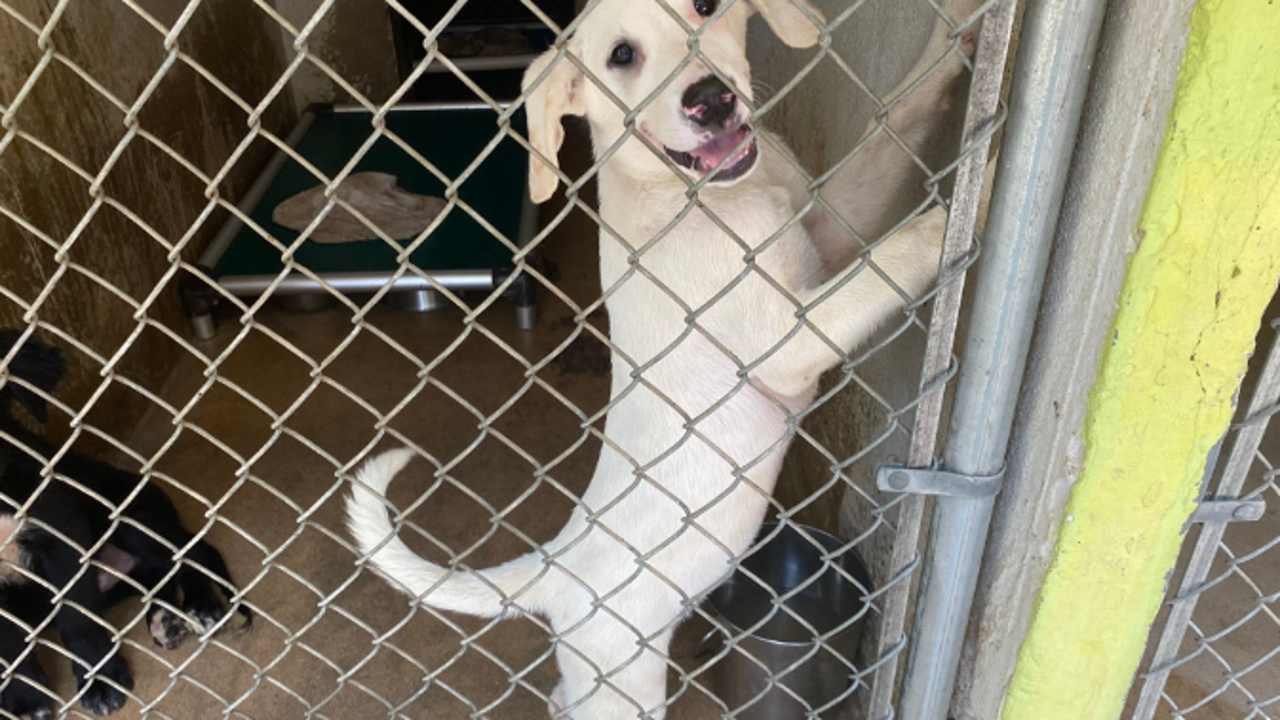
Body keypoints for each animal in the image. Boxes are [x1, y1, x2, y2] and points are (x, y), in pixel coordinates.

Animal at [1, 330, 249, 712]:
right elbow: (9, 642)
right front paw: (24, 698)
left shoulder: (62, 536)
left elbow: (78, 620)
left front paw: (100, 681)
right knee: (157, 572)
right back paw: (164, 618)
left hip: (130, 517)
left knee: (192, 553)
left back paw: (199, 606)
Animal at [348, 0, 988, 712]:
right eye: (622, 56)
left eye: (705, 8)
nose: (711, 99)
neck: (696, 194)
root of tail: (554, 568)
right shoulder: (786, 343)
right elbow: (891, 258)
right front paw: (960, 208)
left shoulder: (826, 237)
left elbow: (894, 121)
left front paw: (957, 40)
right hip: (624, 687)